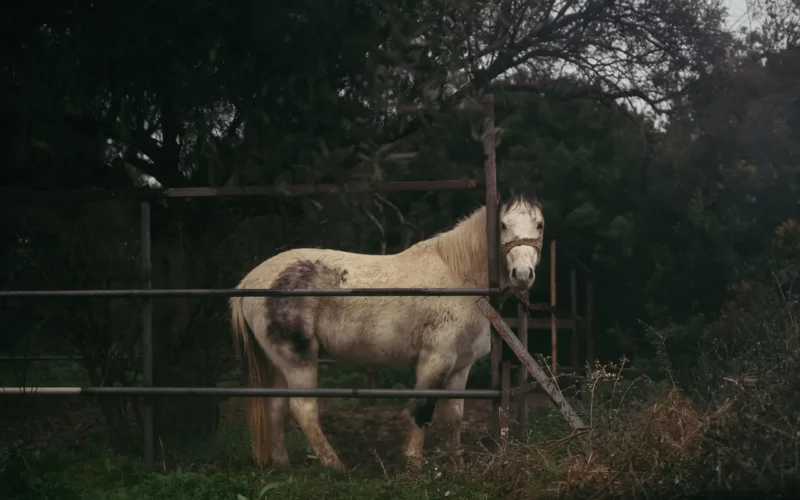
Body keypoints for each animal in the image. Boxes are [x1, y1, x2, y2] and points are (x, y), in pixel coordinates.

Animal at [229, 186, 544, 471]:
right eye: (503, 225)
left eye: (539, 224)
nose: (523, 275)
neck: (460, 277)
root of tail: (249, 282)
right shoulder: (435, 358)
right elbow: (422, 409)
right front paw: (414, 462)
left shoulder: (460, 365)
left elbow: (455, 415)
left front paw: (457, 463)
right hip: (298, 359)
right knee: (303, 409)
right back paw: (335, 465)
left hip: (277, 361)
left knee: (275, 407)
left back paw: (282, 464)